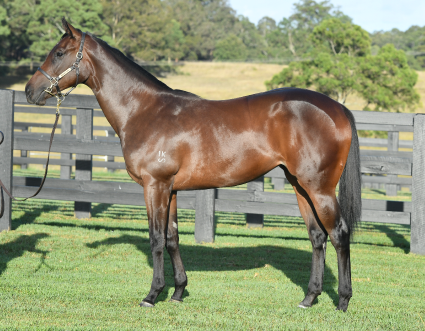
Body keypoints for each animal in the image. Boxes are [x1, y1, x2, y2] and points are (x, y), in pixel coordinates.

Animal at [24, 19, 360, 312]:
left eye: (59, 53)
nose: (29, 90)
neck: (144, 110)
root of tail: (339, 109)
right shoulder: (170, 189)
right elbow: (173, 238)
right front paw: (178, 291)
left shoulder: (154, 185)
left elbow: (156, 238)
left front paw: (152, 295)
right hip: (299, 186)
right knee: (317, 237)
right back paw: (309, 298)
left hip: (319, 188)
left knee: (339, 234)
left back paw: (343, 301)